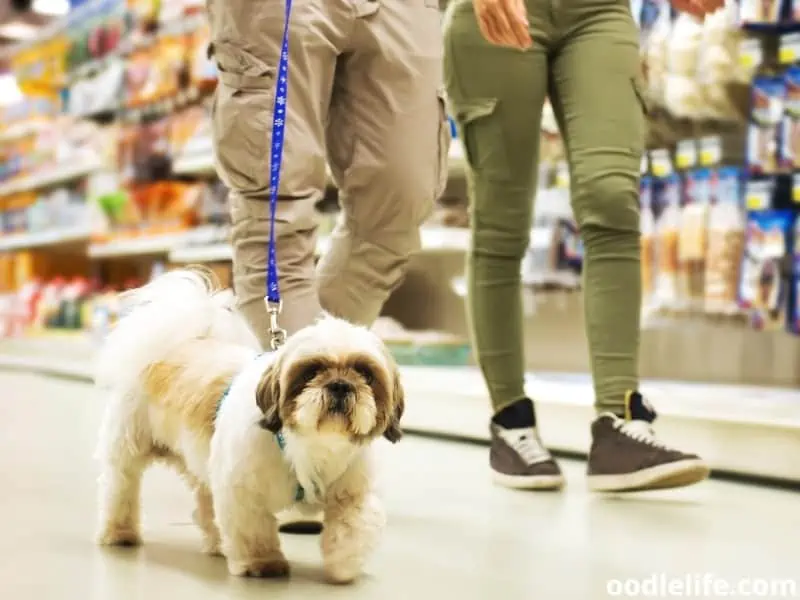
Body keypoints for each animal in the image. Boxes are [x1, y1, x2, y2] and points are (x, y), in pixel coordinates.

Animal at [93, 268, 404, 580]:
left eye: (365, 374)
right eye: (310, 372)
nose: (340, 385)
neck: (312, 445)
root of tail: (182, 344)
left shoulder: (353, 493)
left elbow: (352, 527)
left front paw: (344, 565)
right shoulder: (242, 491)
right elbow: (254, 531)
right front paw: (262, 563)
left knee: (205, 504)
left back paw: (217, 544)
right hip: (128, 451)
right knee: (120, 489)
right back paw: (119, 532)